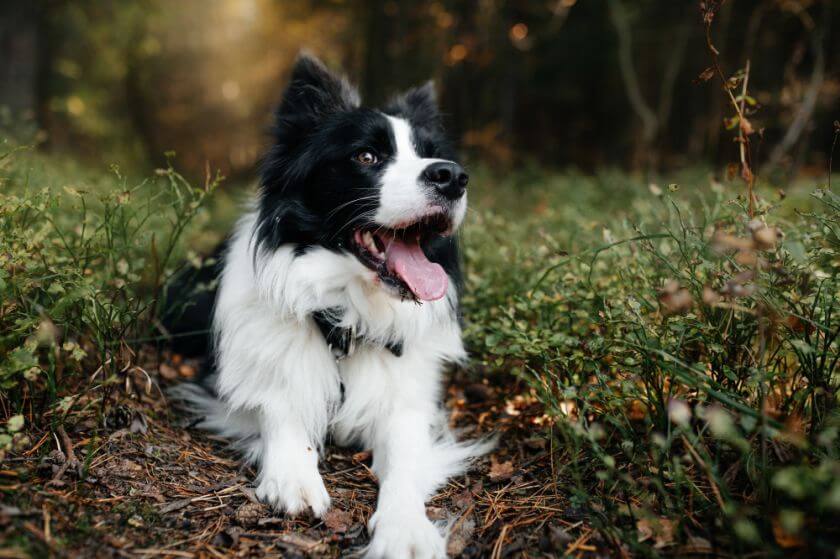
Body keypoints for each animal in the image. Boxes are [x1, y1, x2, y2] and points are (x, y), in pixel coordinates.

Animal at [167, 53, 488, 559]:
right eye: (366, 157)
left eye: (429, 154)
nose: (452, 176)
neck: (346, 314)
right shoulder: (249, 378)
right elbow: (279, 406)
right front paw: (294, 477)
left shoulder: (408, 401)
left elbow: (404, 457)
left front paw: (405, 527)